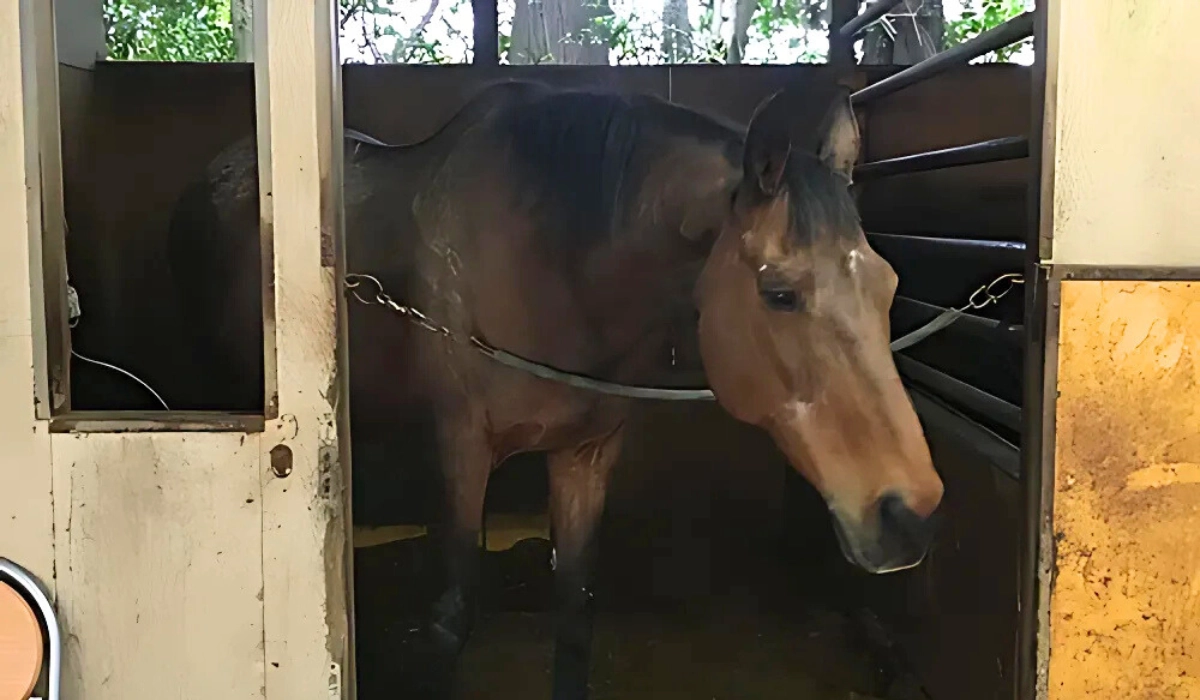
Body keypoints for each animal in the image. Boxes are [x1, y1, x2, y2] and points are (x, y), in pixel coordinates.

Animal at [166, 74, 943, 699]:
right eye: (780, 294)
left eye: (888, 285)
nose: (909, 514)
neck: (554, 263)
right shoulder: (462, 449)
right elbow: (452, 617)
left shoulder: (586, 456)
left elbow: (574, 613)